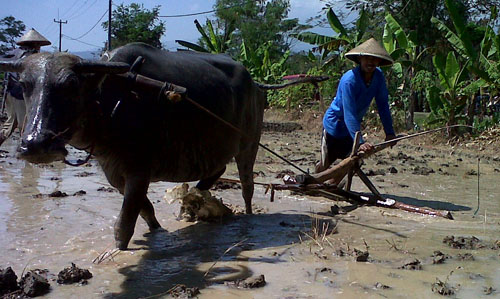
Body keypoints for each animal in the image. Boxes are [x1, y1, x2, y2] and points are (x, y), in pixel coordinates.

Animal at [0, 43, 268, 251]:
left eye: (71, 85)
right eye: (25, 85)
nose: (35, 144)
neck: (112, 103)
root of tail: (256, 85)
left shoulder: (139, 170)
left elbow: (125, 223)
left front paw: (118, 249)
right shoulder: (115, 174)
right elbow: (145, 208)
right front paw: (157, 229)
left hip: (249, 145)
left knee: (247, 185)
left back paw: (248, 216)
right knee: (216, 171)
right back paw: (189, 206)